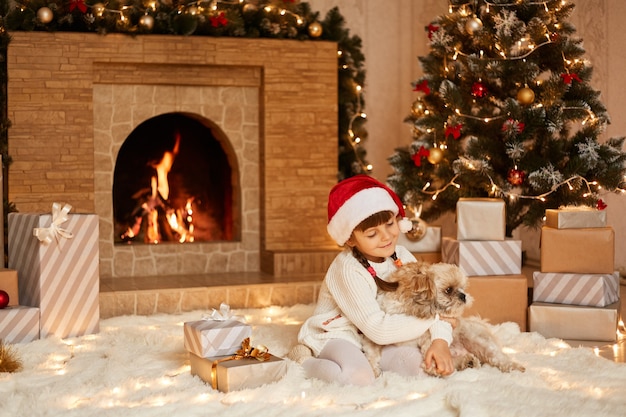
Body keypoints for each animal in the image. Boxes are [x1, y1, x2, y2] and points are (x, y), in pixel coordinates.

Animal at [360, 262, 520, 376]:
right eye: (448, 290)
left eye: (462, 288)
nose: (463, 295)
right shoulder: (373, 335)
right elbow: (371, 352)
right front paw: (374, 370)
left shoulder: (430, 341)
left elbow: (431, 357)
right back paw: (467, 362)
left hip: (479, 342)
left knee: (499, 357)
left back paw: (514, 367)